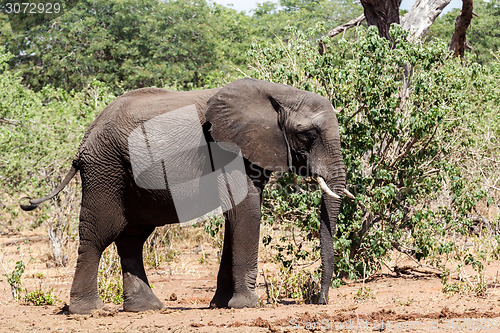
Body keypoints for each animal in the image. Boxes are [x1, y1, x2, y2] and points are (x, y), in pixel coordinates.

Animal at [18, 78, 348, 314]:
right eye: (308, 135)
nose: (319, 301)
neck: (277, 93)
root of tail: (85, 139)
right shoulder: (227, 148)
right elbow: (246, 211)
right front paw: (245, 305)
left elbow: (235, 216)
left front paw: (221, 305)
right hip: (105, 169)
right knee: (100, 234)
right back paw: (87, 311)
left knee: (132, 237)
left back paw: (145, 309)